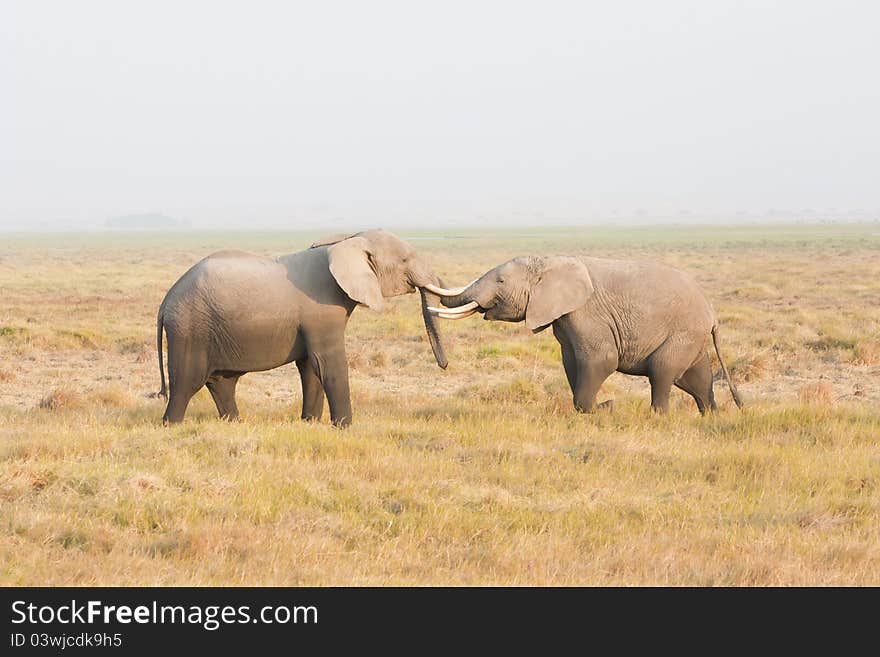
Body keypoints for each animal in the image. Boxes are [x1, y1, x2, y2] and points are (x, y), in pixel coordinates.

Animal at [156, 229, 454, 426]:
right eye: (405, 260)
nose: (445, 366)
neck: (349, 241)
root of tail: (166, 300)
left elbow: (311, 367)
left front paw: (309, 423)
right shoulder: (322, 311)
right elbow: (328, 363)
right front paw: (344, 427)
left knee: (222, 382)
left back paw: (235, 424)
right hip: (189, 328)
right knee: (186, 383)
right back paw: (172, 425)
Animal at [426, 254, 744, 412]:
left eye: (501, 281)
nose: (444, 364)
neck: (549, 262)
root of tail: (712, 313)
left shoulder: (587, 313)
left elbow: (601, 360)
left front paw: (604, 408)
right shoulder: (565, 319)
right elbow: (572, 363)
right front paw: (602, 407)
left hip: (684, 332)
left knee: (662, 372)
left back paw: (659, 416)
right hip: (691, 336)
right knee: (696, 380)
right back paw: (711, 417)